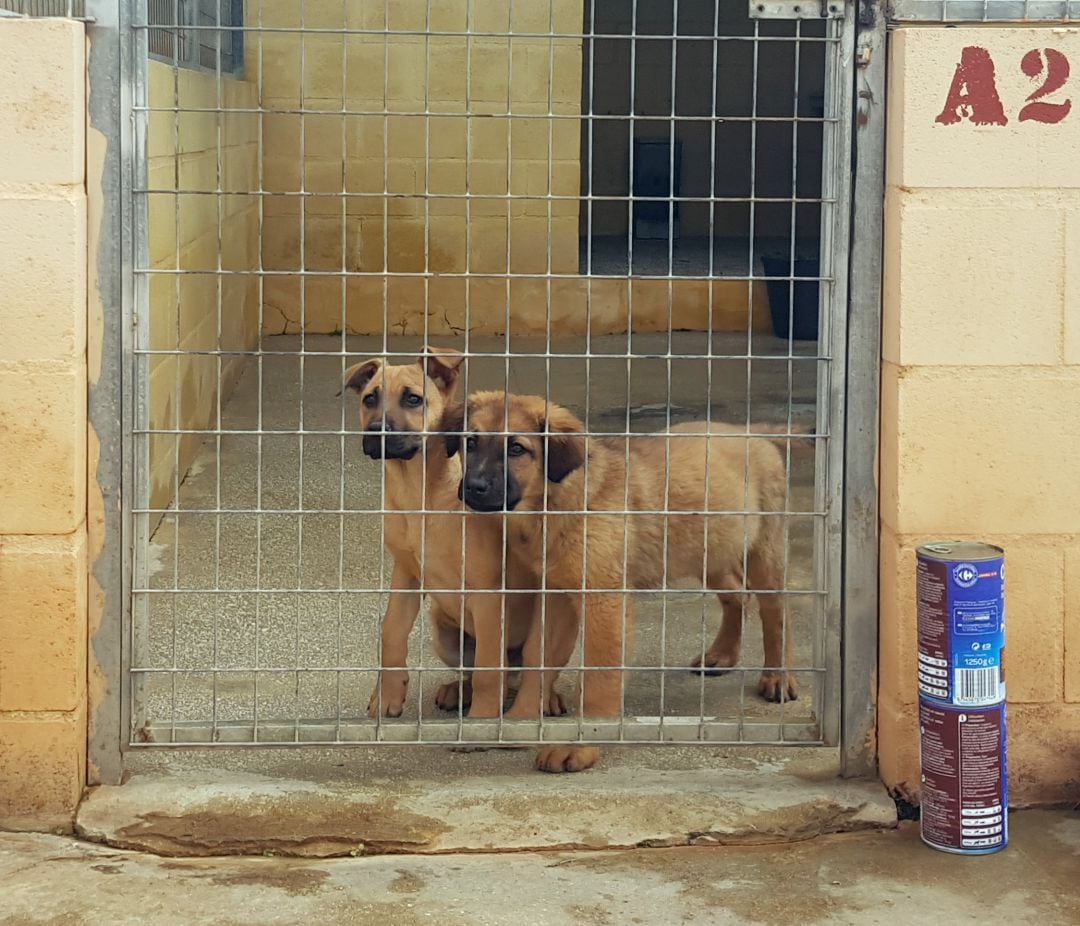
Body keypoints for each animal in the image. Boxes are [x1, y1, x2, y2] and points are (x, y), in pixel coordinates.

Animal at [343, 350, 565, 717]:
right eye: (369, 399)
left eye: (413, 399)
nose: (376, 432)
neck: (420, 492)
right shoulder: (407, 574)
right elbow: (391, 631)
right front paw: (388, 694)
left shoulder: (488, 593)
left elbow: (490, 669)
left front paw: (482, 720)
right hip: (444, 633)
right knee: (478, 672)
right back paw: (457, 691)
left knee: (531, 674)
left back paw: (546, 699)